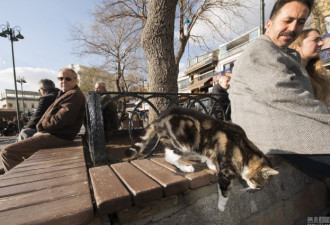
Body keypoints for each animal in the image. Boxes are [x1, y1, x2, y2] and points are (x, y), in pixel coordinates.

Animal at [129, 107, 278, 211]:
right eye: (258, 183)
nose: (257, 189)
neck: (244, 149)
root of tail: (158, 119)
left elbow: (211, 157)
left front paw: (211, 164)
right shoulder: (226, 173)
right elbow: (225, 192)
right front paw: (221, 207)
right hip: (182, 143)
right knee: (169, 157)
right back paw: (186, 168)